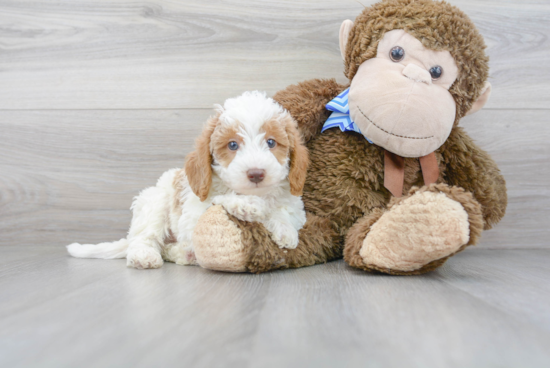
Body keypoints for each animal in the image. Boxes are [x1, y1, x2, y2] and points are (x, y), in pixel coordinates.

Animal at [67, 91, 310, 270]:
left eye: (271, 142)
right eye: (232, 145)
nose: (256, 173)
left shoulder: (295, 206)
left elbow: (284, 213)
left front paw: (285, 230)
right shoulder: (193, 215)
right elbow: (220, 199)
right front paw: (247, 205)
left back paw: (183, 253)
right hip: (154, 201)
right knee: (143, 237)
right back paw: (144, 255)